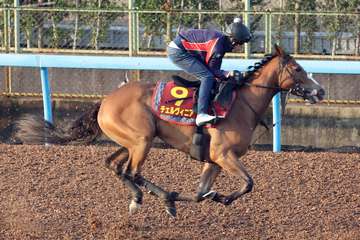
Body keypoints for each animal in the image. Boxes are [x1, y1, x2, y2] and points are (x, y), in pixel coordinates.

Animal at [16, 45, 326, 218]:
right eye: (297, 68)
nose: (320, 91)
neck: (241, 103)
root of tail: (105, 100)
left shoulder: (213, 161)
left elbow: (201, 193)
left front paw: (205, 197)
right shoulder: (223, 155)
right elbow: (248, 183)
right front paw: (222, 198)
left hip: (133, 140)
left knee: (114, 165)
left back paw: (156, 197)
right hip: (141, 140)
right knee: (132, 172)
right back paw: (145, 198)